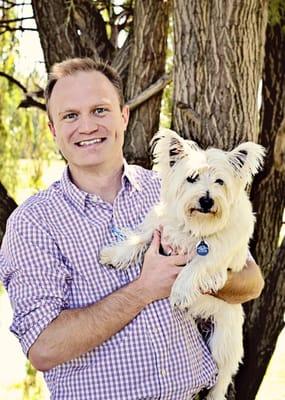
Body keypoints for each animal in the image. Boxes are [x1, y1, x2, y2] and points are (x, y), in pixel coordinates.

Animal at [100, 129, 264, 400]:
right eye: (192, 178)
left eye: (220, 182)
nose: (206, 200)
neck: (197, 226)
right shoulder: (161, 224)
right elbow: (143, 235)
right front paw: (116, 253)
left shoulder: (218, 252)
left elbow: (198, 264)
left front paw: (180, 291)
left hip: (223, 342)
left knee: (221, 378)